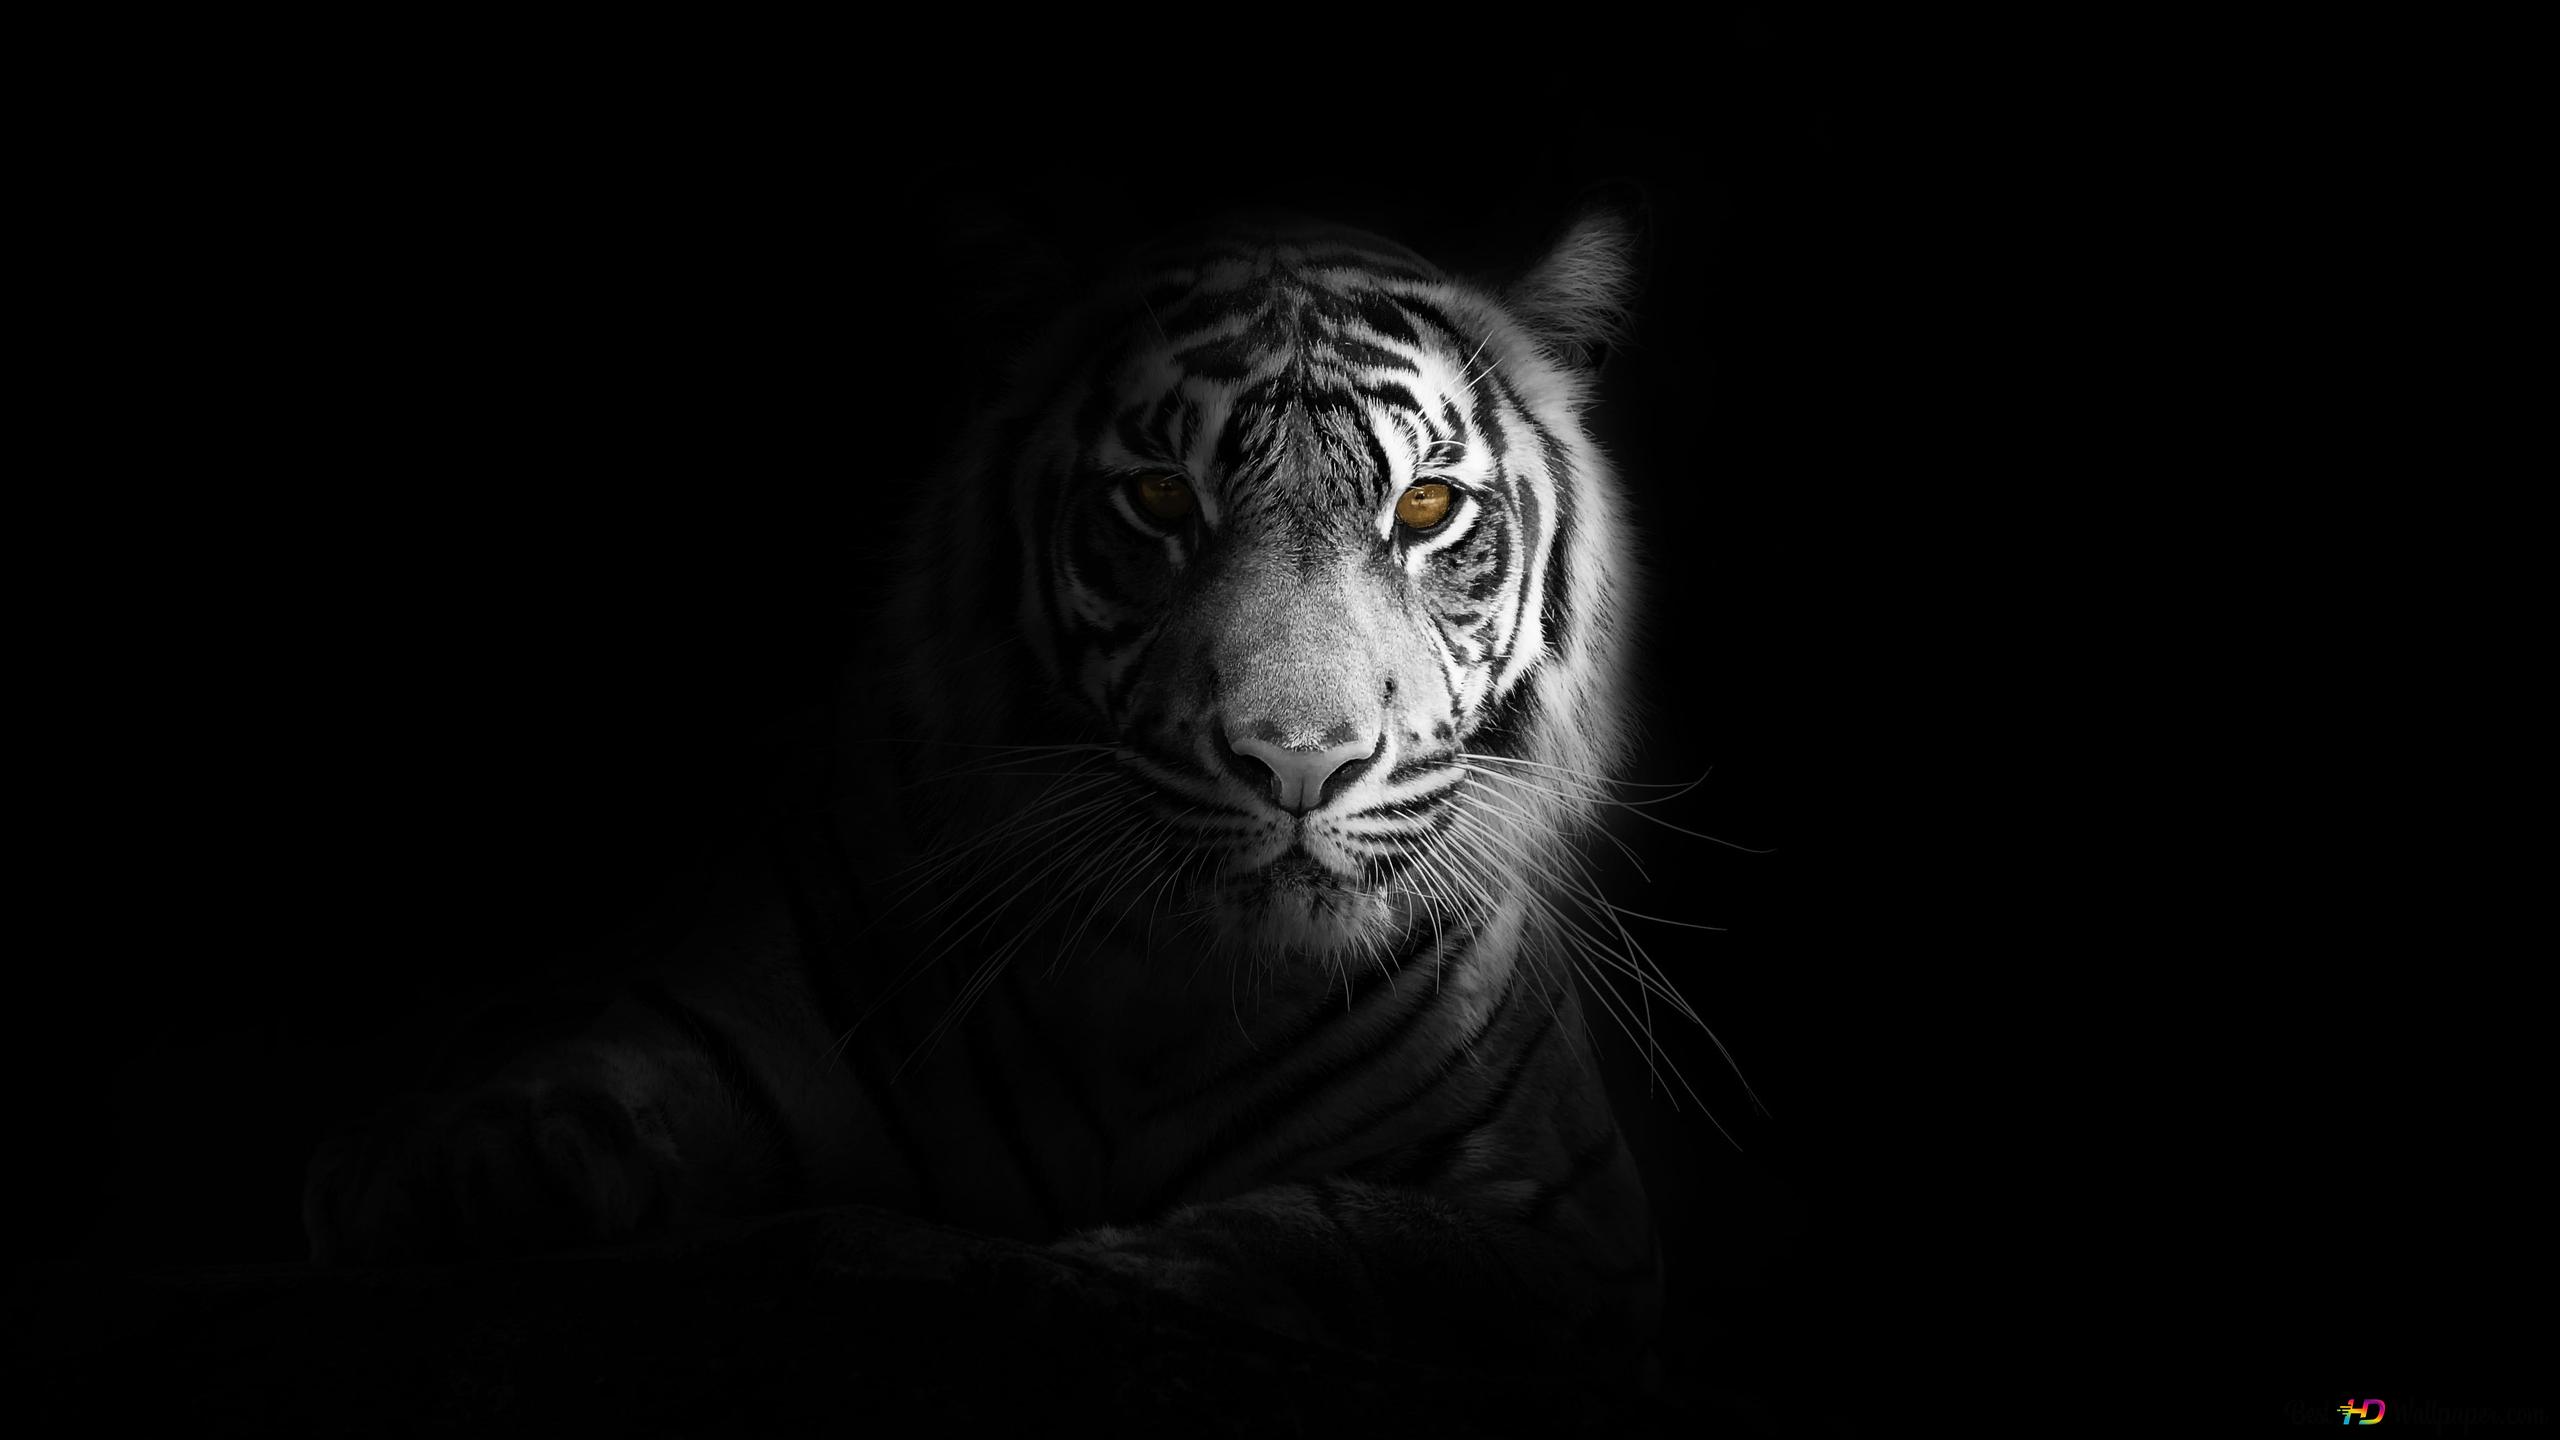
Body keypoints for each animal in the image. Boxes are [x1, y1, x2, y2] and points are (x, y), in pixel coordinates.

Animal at [304, 204, 1687, 1379]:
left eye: (1427, 506)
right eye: (1159, 497)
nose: (1299, 759)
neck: (1170, 996)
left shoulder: (1577, 1230)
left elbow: (1350, 1235)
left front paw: (1121, 1270)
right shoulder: (712, 1020)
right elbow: (531, 1118)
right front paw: (460, 1196)